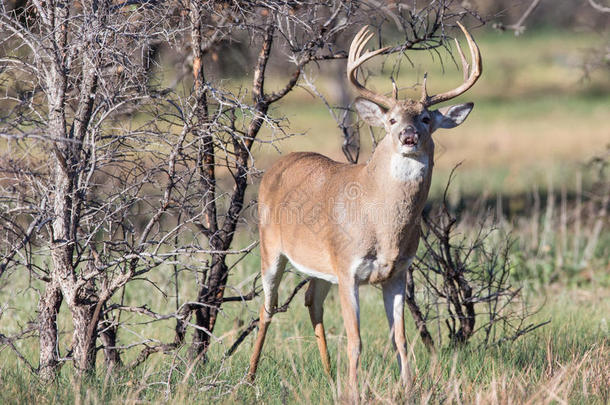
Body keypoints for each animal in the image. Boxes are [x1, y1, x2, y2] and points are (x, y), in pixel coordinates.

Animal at [247, 22, 480, 388]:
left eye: (426, 118)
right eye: (391, 120)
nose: (409, 136)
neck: (381, 223)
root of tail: (277, 165)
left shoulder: (397, 272)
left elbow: (400, 339)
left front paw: (408, 387)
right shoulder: (348, 268)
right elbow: (355, 340)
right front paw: (354, 391)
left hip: (321, 265)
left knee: (311, 301)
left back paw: (329, 376)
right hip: (270, 247)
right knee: (267, 307)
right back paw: (251, 376)